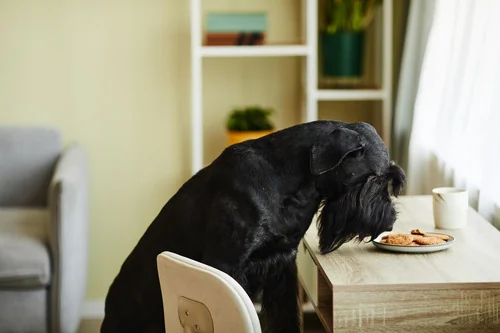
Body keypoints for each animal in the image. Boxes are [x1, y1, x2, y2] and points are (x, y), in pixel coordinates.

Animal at [101, 119, 406, 332]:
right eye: (375, 180)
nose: (390, 220)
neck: (293, 183)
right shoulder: (226, 267)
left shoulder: (282, 269)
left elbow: (285, 319)